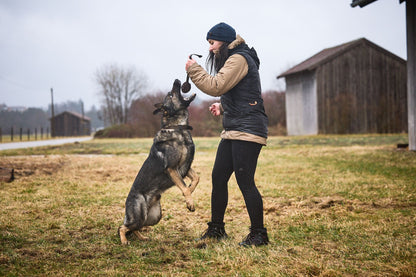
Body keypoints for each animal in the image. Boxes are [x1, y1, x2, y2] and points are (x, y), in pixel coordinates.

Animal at [118, 78, 200, 244]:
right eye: (171, 94)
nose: (177, 80)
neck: (177, 127)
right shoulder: (172, 168)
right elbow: (184, 186)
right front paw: (189, 200)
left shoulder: (185, 167)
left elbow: (196, 179)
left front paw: (190, 190)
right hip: (139, 215)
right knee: (123, 227)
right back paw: (124, 241)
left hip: (154, 217)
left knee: (134, 228)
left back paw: (142, 238)